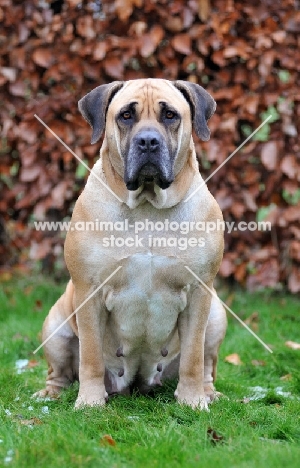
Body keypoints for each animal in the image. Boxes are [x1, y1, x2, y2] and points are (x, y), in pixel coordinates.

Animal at [34, 79, 226, 410]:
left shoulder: (199, 292)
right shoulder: (89, 292)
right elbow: (91, 356)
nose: (148, 141)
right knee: (60, 372)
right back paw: (51, 394)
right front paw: (90, 402)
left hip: (216, 313)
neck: (148, 206)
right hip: (55, 325)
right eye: (126, 116)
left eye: (170, 115)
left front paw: (192, 401)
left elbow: (193, 357)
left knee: (205, 365)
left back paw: (208, 393)